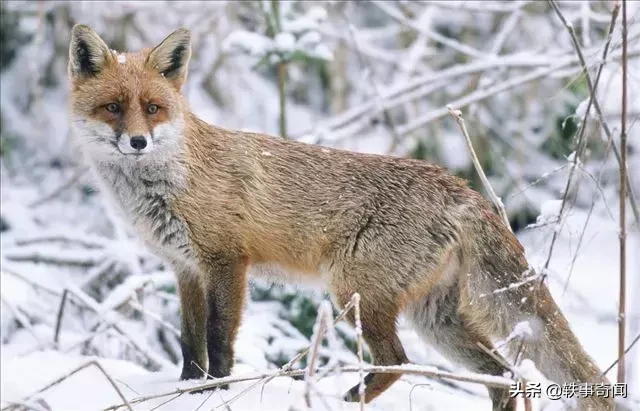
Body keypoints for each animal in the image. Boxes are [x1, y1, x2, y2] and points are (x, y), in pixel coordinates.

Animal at [67, 26, 612, 411]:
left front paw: (219, 393)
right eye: (113, 108)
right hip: (434, 318)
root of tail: (459, 186)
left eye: (153, 108)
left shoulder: (226, 261)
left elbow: (220, 340)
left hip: (356, 292)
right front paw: (186, 391)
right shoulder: (184, 268)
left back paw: (351, 397)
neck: (173, 182)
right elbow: (188, 342)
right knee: (501, 375)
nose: (138, 142)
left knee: (400, 362)